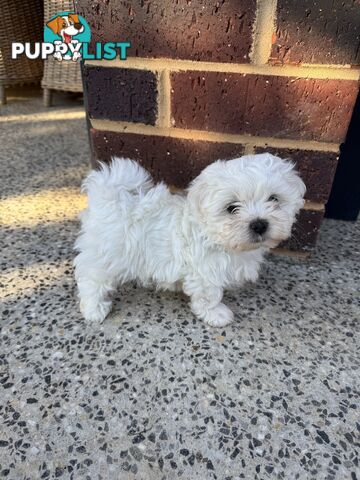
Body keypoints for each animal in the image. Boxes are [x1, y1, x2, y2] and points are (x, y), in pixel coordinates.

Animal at [74, 154, 306, 326]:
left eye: (274, 199)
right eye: (231, 208)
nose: (259, 224)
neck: (216, 236)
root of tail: (109, 199)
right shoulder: (205, 272)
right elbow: (209, 295)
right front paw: (216, 314)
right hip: (105, 257)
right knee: (91, 279)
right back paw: (94, 309)